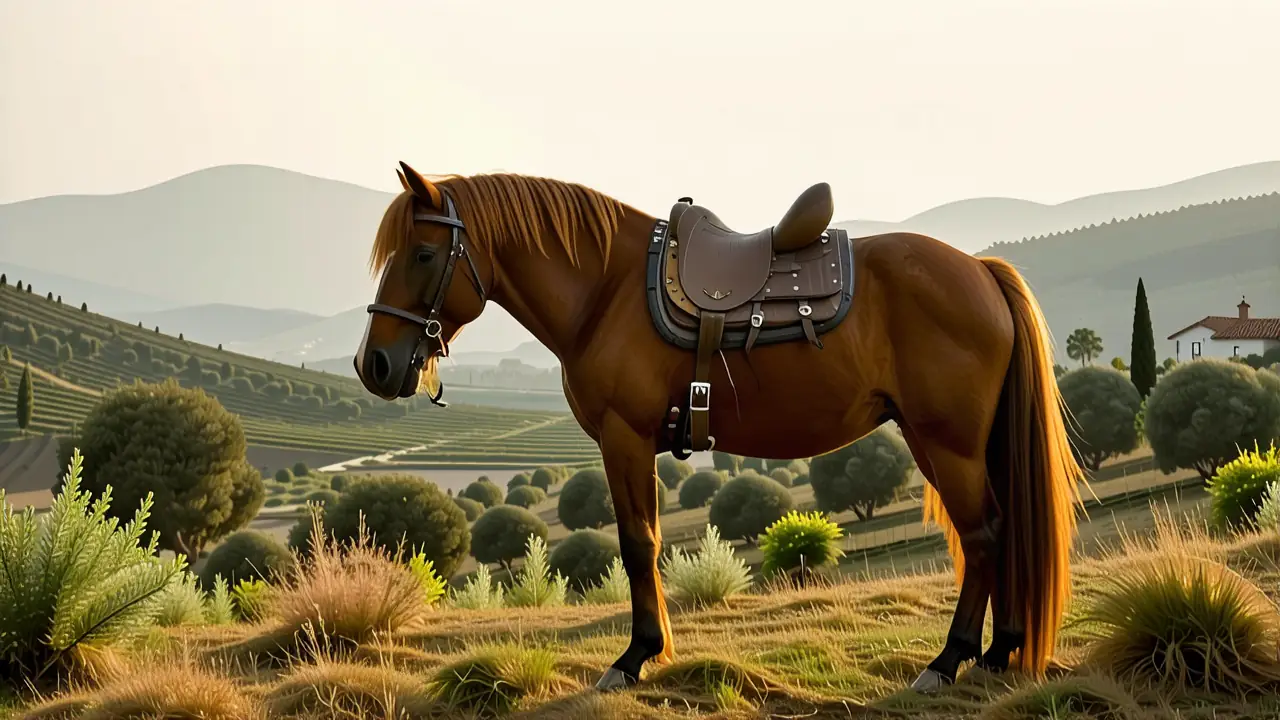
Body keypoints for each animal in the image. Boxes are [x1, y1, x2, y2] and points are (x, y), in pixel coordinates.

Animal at [353, 161, 1085, 694]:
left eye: (423, 253)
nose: (374, 364)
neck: (607, 290)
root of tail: (980, 271)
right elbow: (645, 542)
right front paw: (652, 649)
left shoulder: (624, 437)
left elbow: (637, 542)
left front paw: (636, 656)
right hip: (951, 444)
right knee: (1001, 529)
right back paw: (998, 651)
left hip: (947, 443)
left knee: (984, 535)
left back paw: (949, 660)